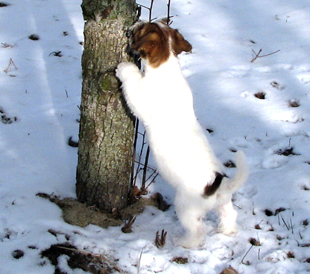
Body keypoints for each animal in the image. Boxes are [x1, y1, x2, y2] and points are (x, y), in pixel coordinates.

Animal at [116, 20, 249, 248]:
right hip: (223, 204)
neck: (166, 68)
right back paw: (227, 231)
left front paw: (124, 68)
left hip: (186, 207)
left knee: (198, 230)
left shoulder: (140, 100)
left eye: (140, 29)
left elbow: (131, 80)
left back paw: (184, 242)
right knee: (230, 215)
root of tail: (219, 186)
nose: (134, 23)